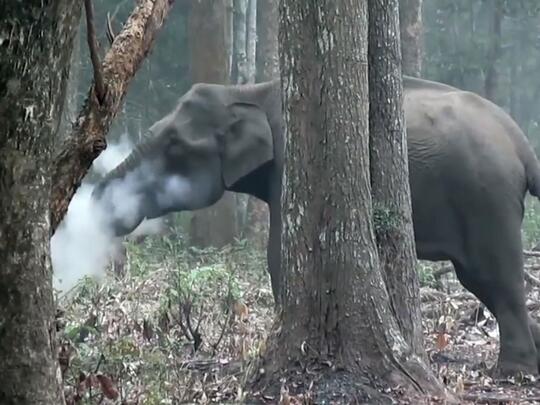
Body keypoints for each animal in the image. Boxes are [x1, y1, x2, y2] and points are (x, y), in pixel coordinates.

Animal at [92, 76, 540, 376]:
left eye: (174, 146)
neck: (249, 90)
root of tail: (521, 143)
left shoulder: (292, 164)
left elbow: (278, 254)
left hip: (486, 197)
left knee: (494, 275)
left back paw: (513, 371)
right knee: (479, 280)